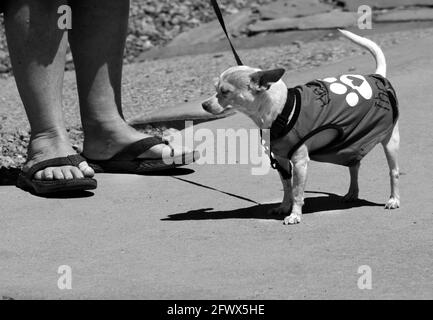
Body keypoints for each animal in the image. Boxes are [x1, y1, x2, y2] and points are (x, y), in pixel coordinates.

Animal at [202, 30, 398, 225]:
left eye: (225, 92)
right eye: (215, 89)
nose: (204, 104)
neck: (281, 111)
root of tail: (377, 77)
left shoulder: (299, 162)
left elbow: (297, 191)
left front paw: (295, 214)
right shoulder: (281, 160)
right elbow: (287, 188)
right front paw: (284, 207)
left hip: (390, 142)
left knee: (393, 172)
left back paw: (393, 200)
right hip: (350, 143)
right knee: (354, 166)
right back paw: (352, 193)